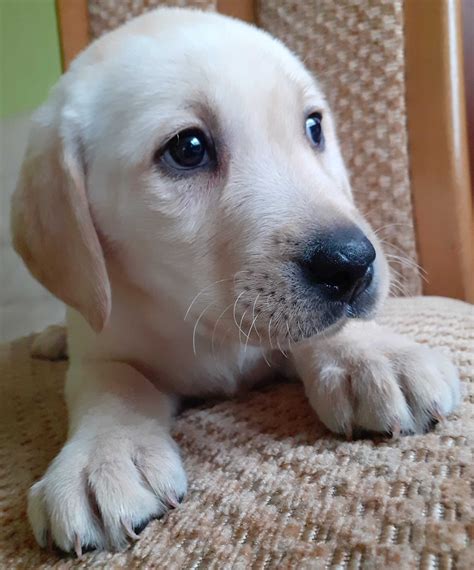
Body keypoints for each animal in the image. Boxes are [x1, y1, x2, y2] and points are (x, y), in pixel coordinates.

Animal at [11, 6, 462, 552]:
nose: (352, 264)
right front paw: (102, 456)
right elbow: (112, 386)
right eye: (188, 148)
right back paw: (51, 339)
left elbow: (328, 330)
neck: (205, 326)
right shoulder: (102, 346)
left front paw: (372, 355)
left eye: (314, 127)